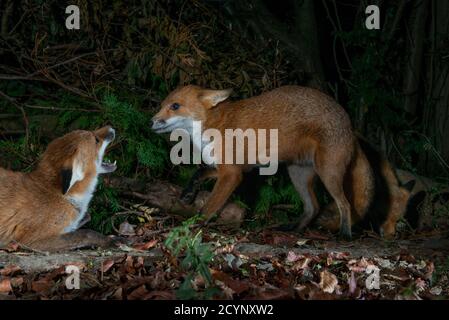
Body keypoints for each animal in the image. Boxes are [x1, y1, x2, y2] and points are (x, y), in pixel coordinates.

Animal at [151, 85, 374, 240]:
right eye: (161, 105)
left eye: (175, 106)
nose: (151, 122)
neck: (213, 126)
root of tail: (350, 125)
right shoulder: (230, 167)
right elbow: (198, 173)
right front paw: (188, 194)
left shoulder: (232, 174)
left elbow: (210, 206)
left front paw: (193, 224)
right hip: (298, 174)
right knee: (314, 207)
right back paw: (294, 229)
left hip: (328, 173)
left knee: (344, 204)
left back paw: (344, 234)